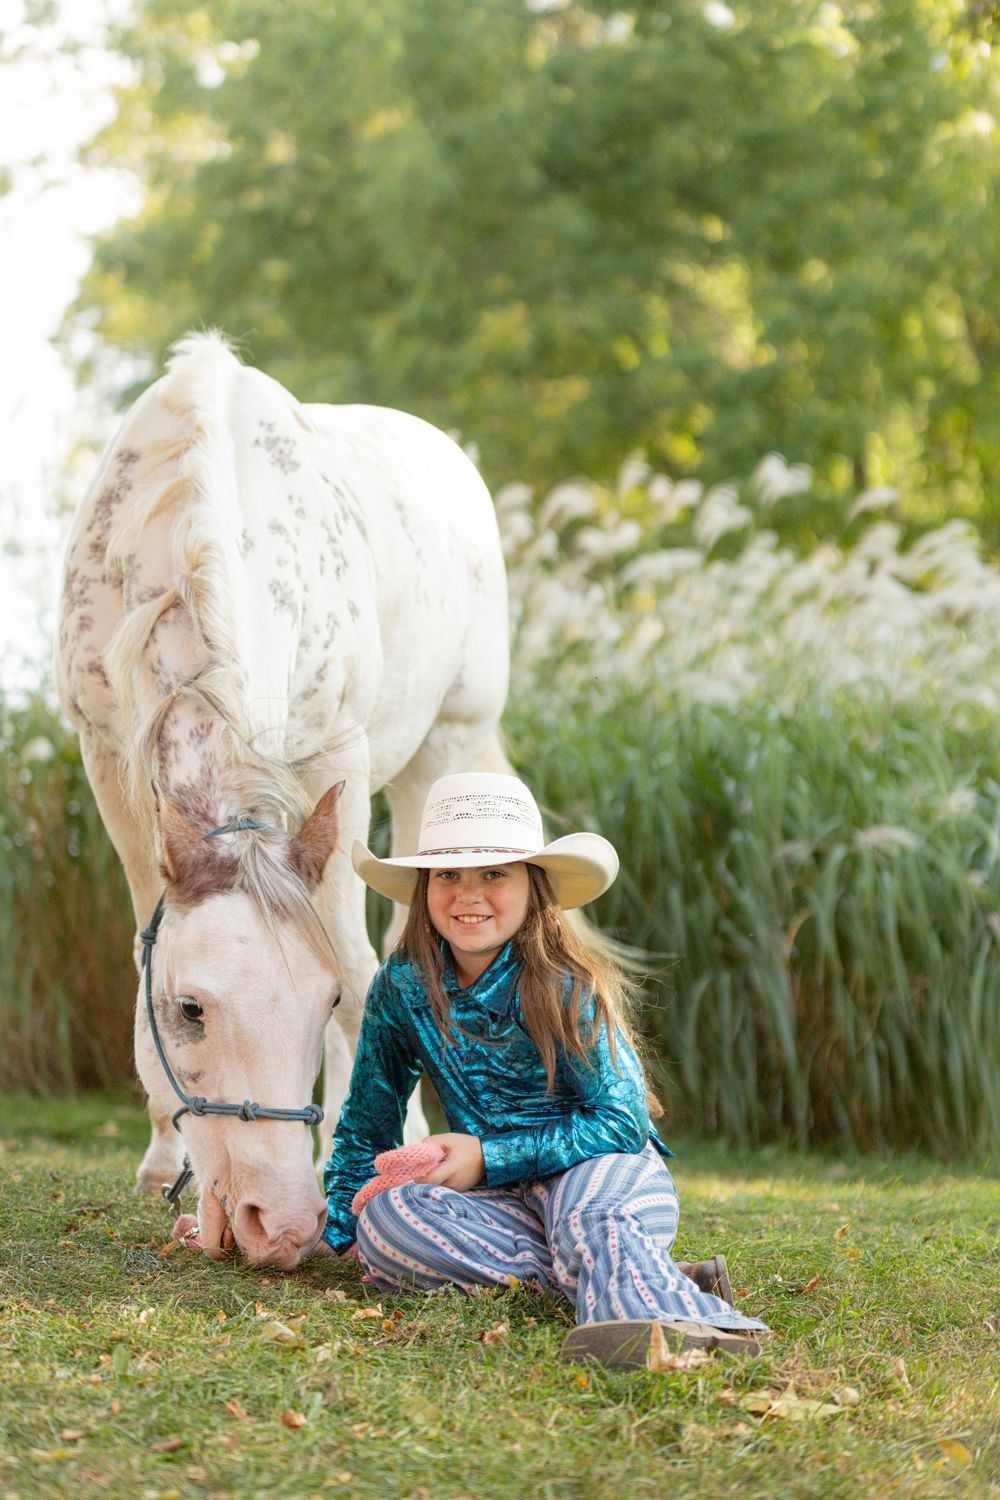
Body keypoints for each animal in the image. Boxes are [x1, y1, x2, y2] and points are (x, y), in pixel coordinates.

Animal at [55, 332, 512, 1269]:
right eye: (188, 1010)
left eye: (325, 1001)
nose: (280, 1223)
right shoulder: (109, 760)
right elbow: (140, 941)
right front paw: (162, 1157)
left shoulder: (336, 757)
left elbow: (365, 963)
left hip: (439, 758)